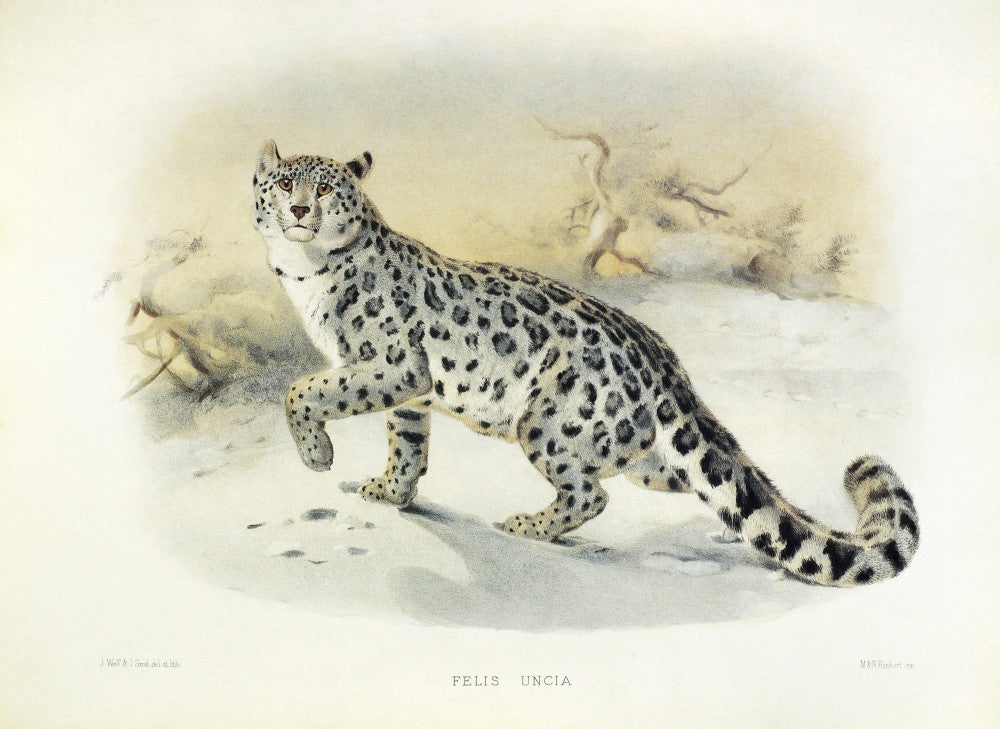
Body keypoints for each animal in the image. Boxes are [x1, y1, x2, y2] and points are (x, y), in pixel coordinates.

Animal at [252, 140, 919, 587]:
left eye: (326, 189)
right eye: (283, 184)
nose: (301, 211)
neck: (303, 274)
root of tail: (662, 359)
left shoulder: (391, 365)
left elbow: (305, 389)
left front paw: (318, 456)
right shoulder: (408, 389)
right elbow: (407, 442)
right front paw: (389, 490)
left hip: (547, 425)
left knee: (590, 495)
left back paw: (523, 524)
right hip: (646, 458)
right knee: (704, 485)